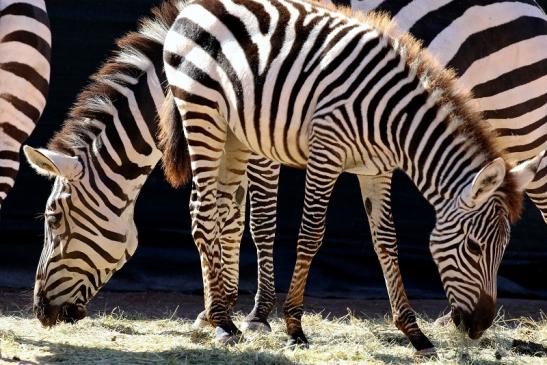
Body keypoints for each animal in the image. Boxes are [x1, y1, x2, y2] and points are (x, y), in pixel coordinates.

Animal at [22, 0, 278, 330]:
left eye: (53, 220)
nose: (40, 312)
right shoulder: (227, 135)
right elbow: (228, 216)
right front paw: (219, 307)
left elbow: (260, 222)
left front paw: (257, 314)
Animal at [159, 0, 544, 352]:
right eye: (475, 247)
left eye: (503, 249)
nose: (480, 326)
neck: (393, 117)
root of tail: (195, 6)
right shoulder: (326, 150)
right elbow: (310, 234)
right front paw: (293, 327)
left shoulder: (377, 170)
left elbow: (386, 241)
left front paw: (415, 334)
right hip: (203, 115)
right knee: (205, 214)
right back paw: (222, 322)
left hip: (233, 134)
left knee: (216, 211)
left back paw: (219, 316)